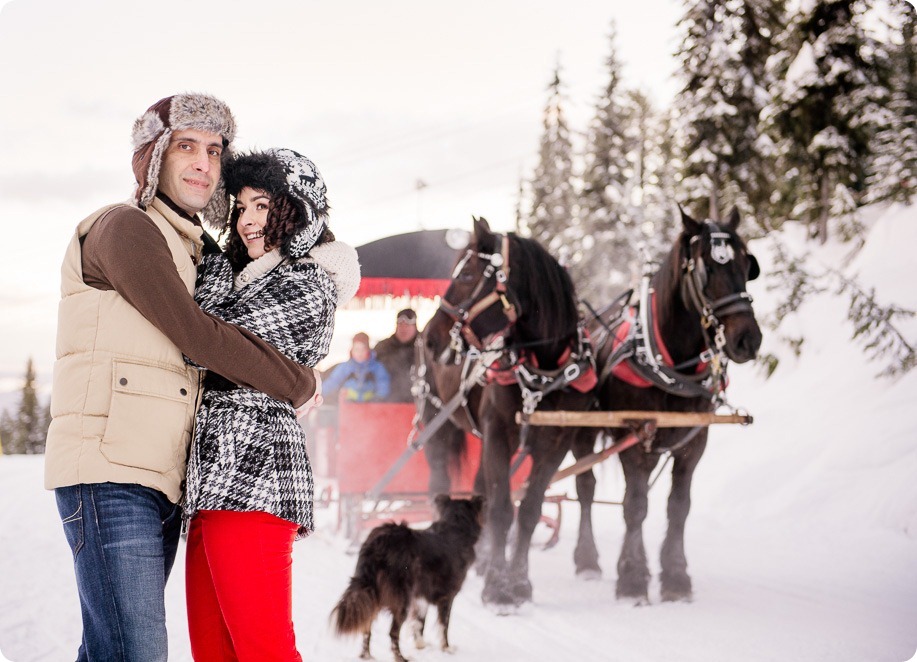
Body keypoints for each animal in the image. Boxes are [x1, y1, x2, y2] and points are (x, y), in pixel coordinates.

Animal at [420, 219, 596, 612]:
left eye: (467, 274)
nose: (430, 338)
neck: (542, 368)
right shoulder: (498, 431)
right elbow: (502, 508)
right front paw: (496, 589)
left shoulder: (554, 442)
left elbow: (528, 510)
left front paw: (518, 583)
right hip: (437, 423)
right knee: (441, 481)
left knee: (479, 489)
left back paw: (483, 557)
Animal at [580, 209, 764, 608]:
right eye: (706, 268)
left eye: (747, 264)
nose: (748, 339)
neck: (669, 364)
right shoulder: (634, 441)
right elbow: (635, 506)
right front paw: (632, 579)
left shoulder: (693, 444)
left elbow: (678, 507)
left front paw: (675, 577)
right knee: (585, 487)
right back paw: (587, 560)